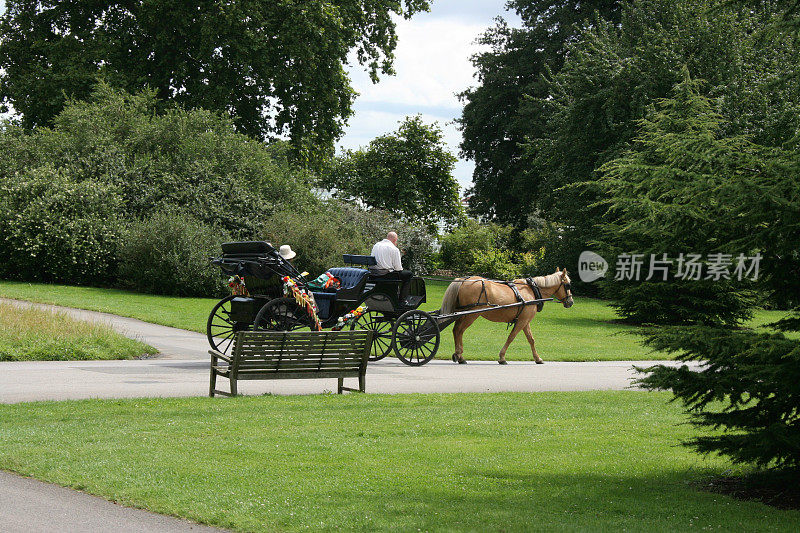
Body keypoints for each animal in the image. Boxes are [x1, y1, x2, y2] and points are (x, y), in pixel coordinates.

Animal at [438, 268, 576, 364]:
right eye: (567, 285)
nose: (571, 302)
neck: (531, 290)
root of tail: (464, 280)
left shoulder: (525, 321)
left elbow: (531, 340)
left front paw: (537, 358)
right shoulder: (522, 321)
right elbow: (511, 337)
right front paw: (502, 357)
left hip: (462, 314)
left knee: (456, 330)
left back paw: (459, 356)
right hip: (472, 314)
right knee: (459, 330)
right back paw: (459, 355)